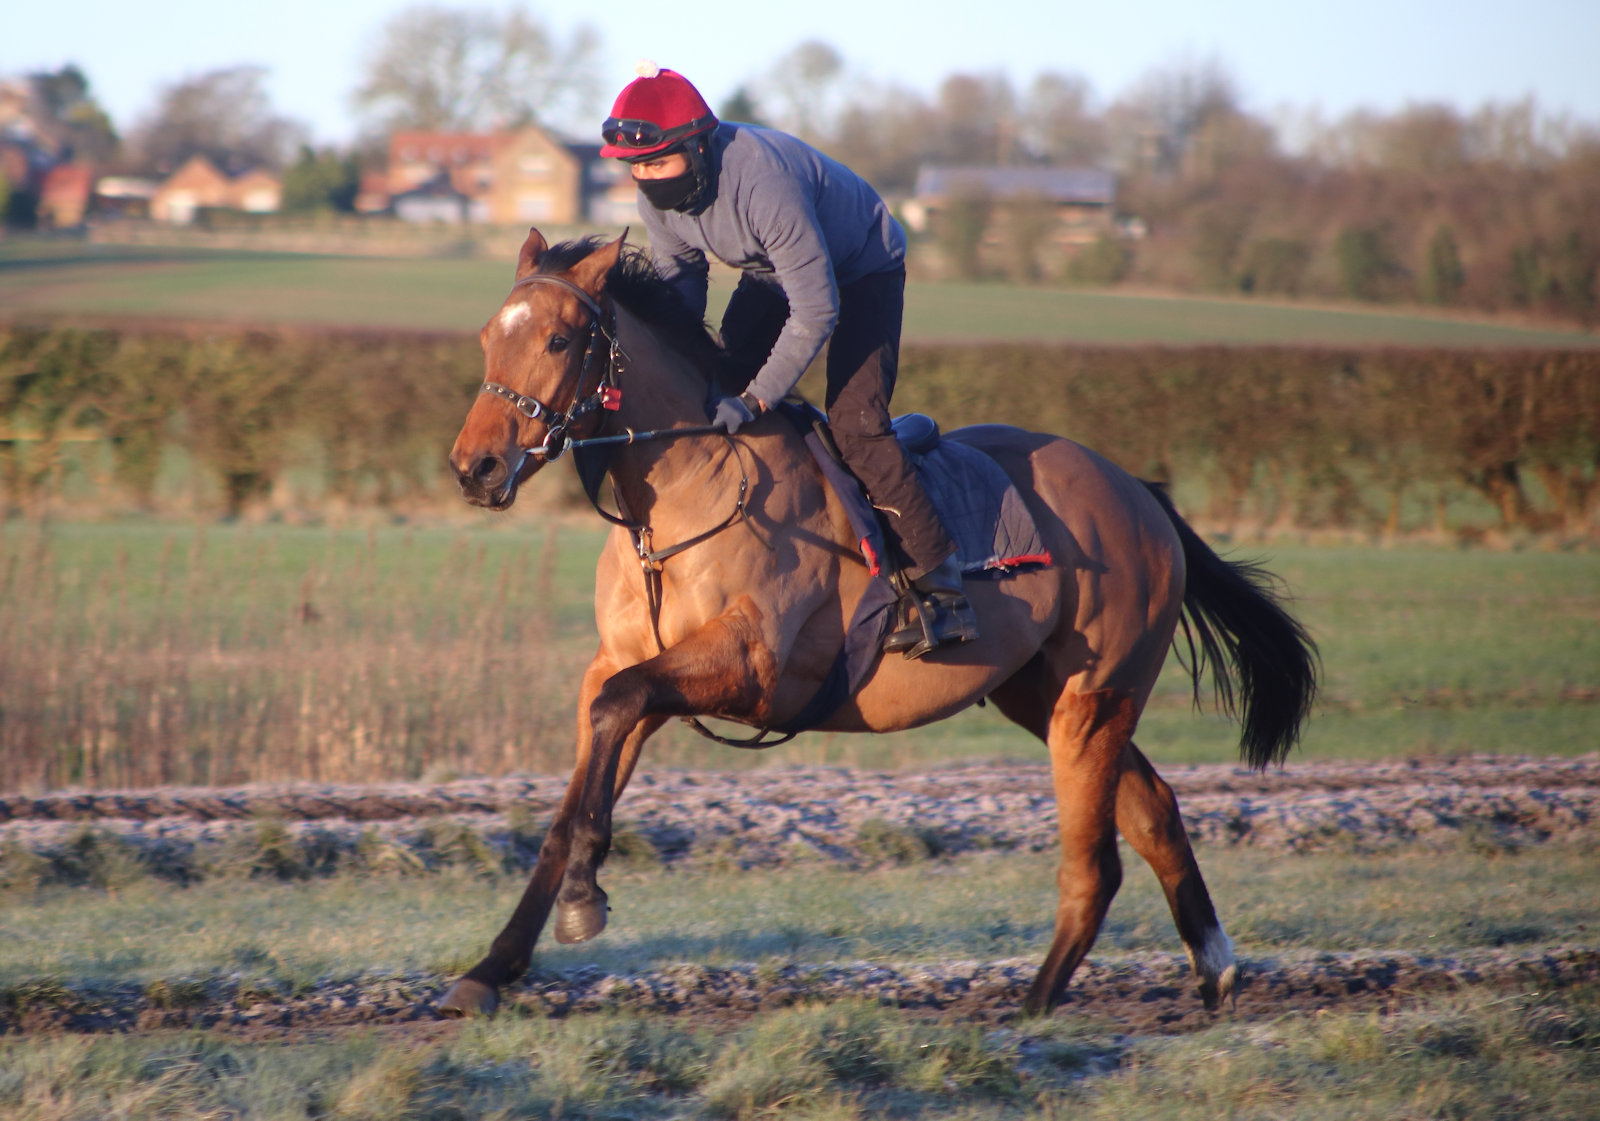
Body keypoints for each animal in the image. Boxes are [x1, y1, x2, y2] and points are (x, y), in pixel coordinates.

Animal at [441, 229, 1318, 1019]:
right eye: (488, 336)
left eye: (558, 339)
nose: (474, 467)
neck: (690, 488)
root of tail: (1140, 491)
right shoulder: (624, 662)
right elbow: (579, 780)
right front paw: (493, 966)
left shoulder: (749, 666)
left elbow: (619, 704)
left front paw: (582, 897)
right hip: (1043, 693)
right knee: (1153, 810)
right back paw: (1213, 970)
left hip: (1095, 696)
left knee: (1096, 859)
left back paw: (1032, 1010)